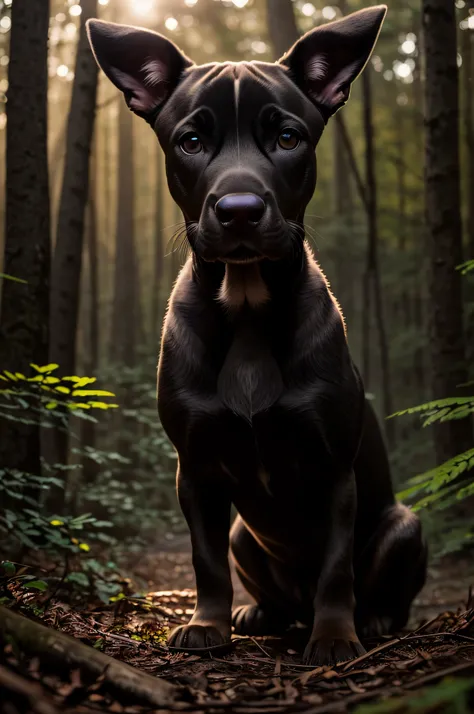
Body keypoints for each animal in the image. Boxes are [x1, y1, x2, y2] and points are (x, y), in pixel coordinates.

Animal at [87, 4, 428, 660]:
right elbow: (205, 561)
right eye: (191, 141)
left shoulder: (334, 469)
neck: (245, 306)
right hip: (245, 532)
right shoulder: (194, 469)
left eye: (288, 138)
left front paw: (334, 635)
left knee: (373, 587)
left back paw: (370, 620)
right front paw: (208, 624)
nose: (240, 210)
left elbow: (337, 567)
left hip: (405, 525)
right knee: (267, 585)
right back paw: (262, 613)